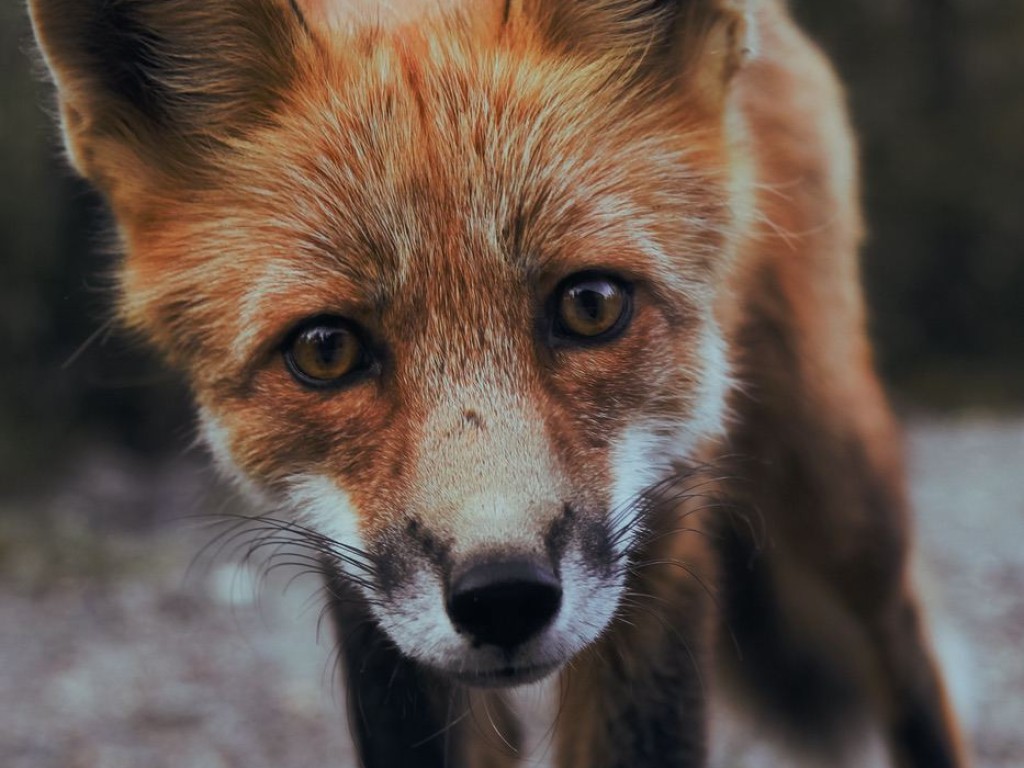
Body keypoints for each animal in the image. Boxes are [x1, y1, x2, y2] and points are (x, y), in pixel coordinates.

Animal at [25, 0, 966, 765]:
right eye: (326, 350)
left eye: (591, 304)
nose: (504, 597)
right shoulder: (367, 604)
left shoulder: (662, 541)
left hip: (841, 493)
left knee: (908, 654)